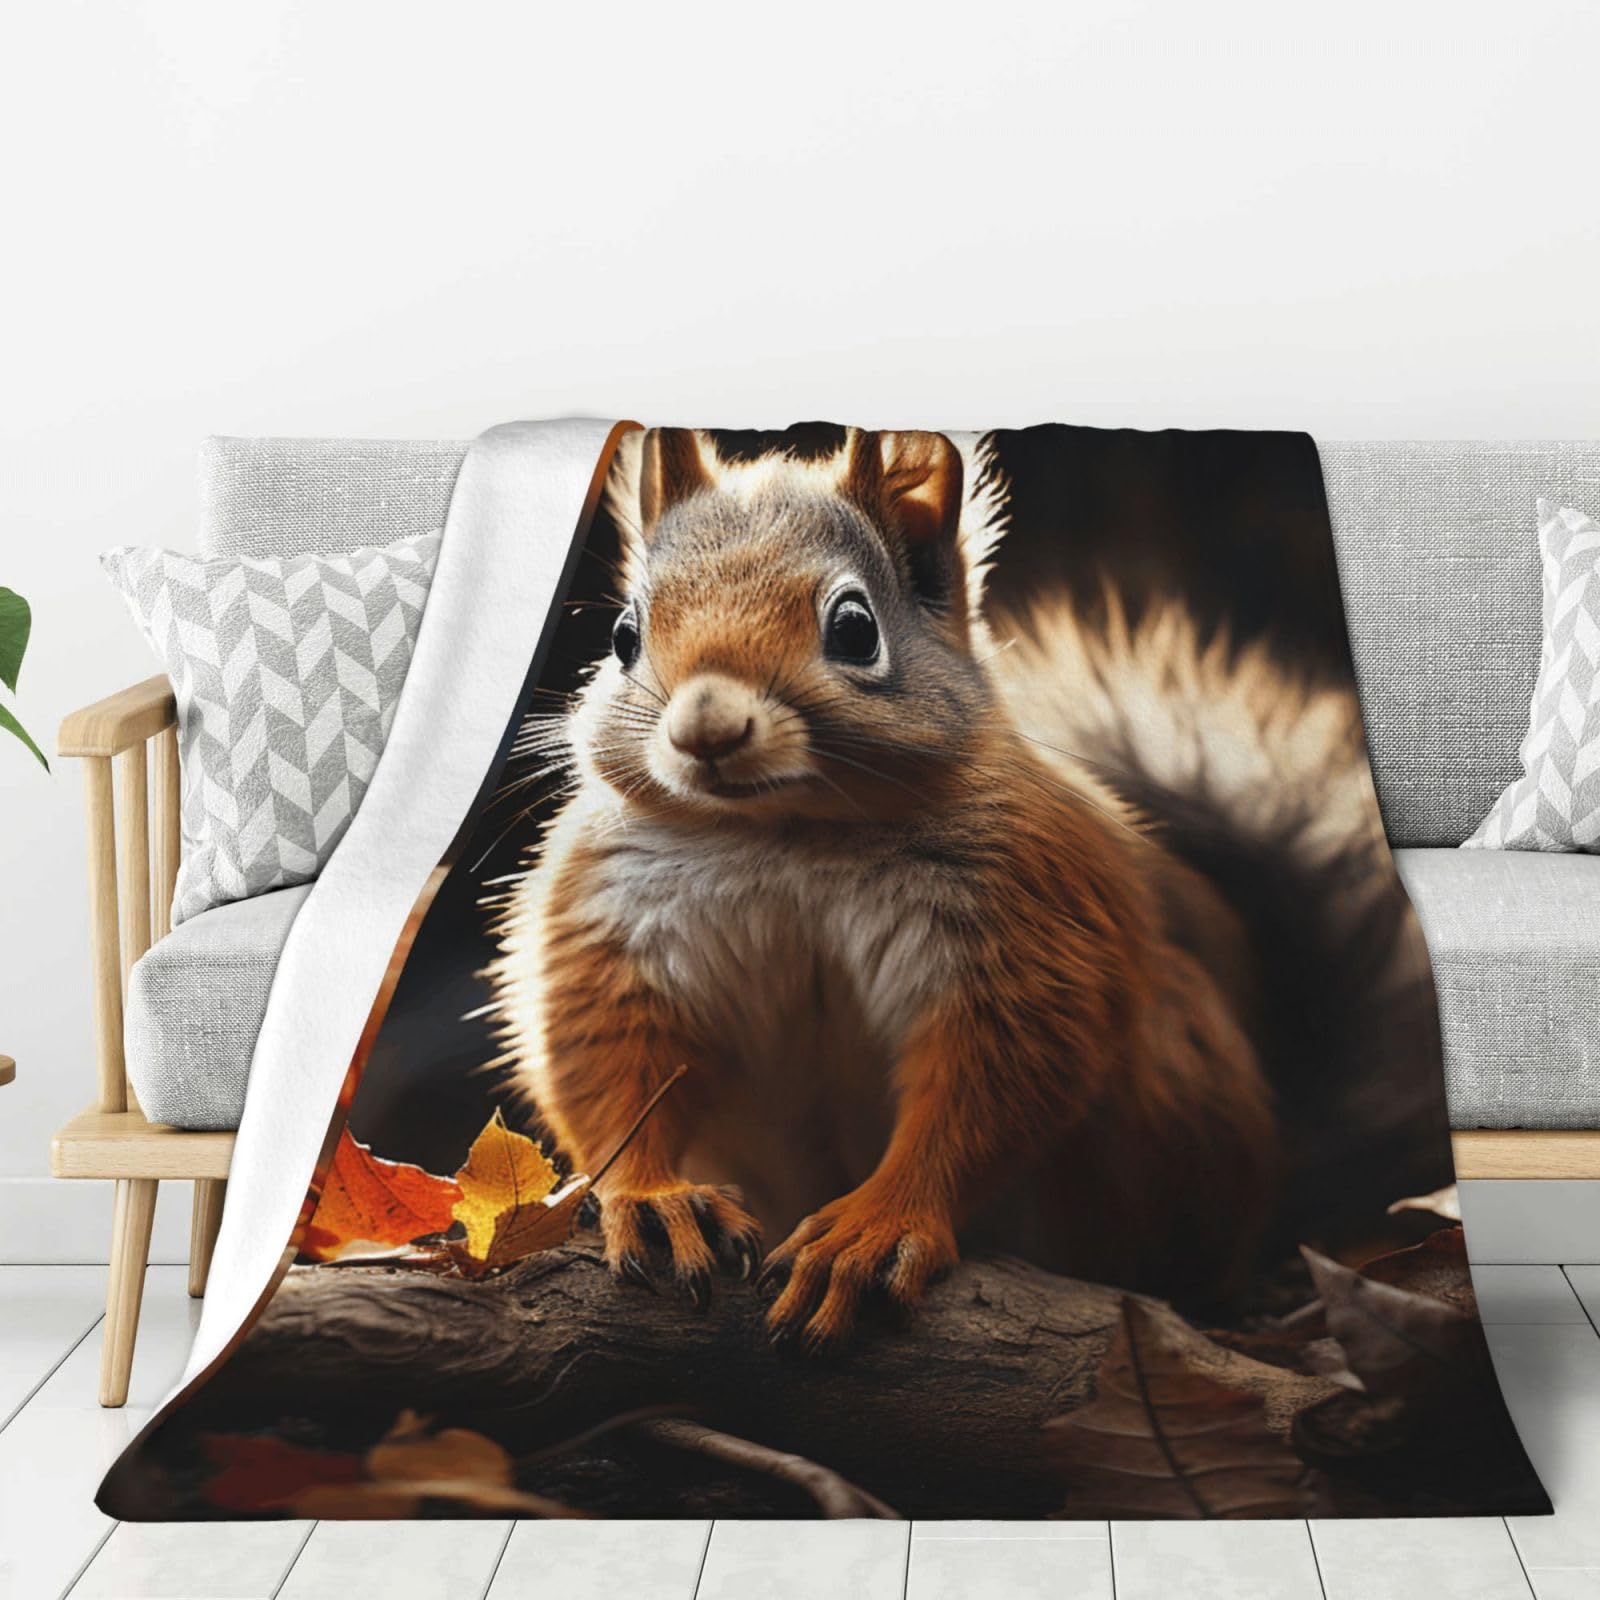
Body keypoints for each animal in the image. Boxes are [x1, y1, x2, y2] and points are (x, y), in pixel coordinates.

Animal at [485, 425, 1401, 1353]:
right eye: (623, 635)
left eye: (856, 629)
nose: (706, 729)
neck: (785, 835)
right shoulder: (613, 922)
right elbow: (613, 1071)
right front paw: (654, 1200)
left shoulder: (1021, 925)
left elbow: (983, 1089)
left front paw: (874, 1227)